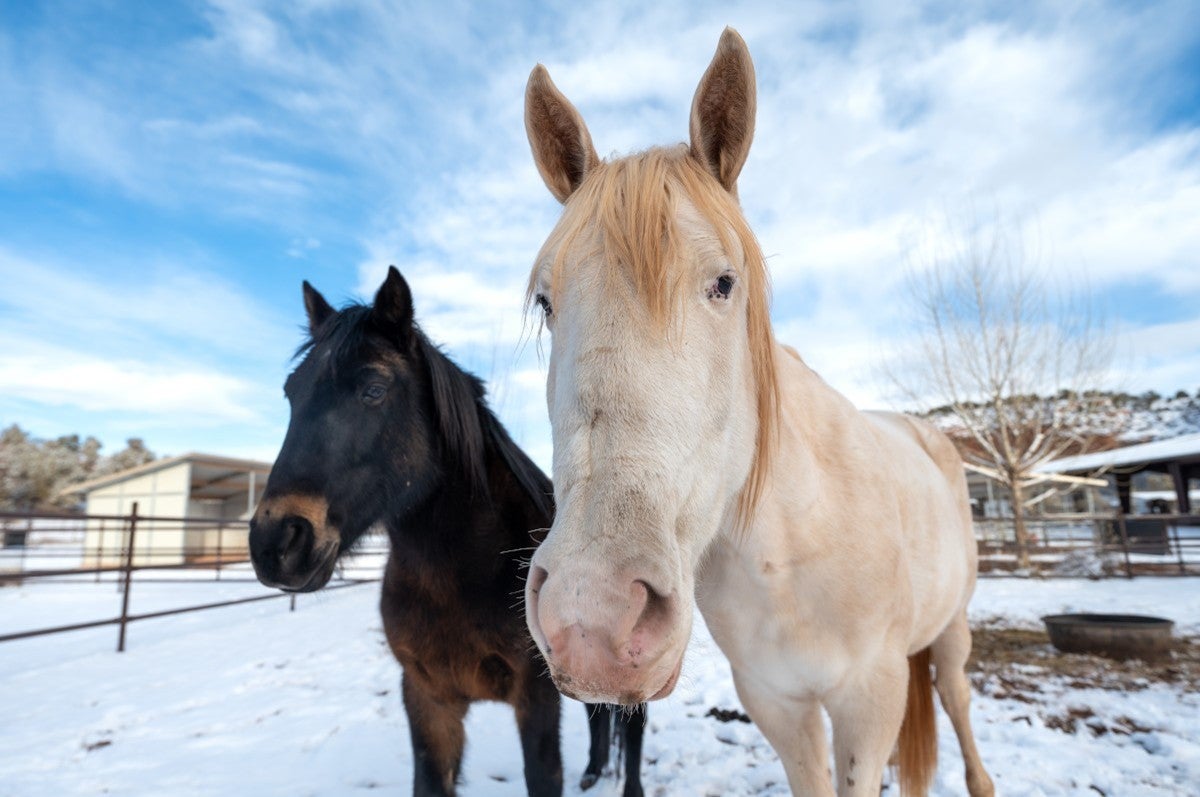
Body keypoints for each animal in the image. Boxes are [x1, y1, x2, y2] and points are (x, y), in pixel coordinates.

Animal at [248, 268, 648, 797]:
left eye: (373, 389)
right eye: (292, 392)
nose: (276, 542)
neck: (462, 573)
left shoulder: (535, 698)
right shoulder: (427, 698)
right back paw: (593, 771)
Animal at [523, 29, 993, 797]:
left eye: (724, 283)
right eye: (545, 302)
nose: (592, 616)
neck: (791, 555)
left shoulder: (870, 697)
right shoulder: (776, 703)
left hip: (950, 630)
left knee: (955, 698)